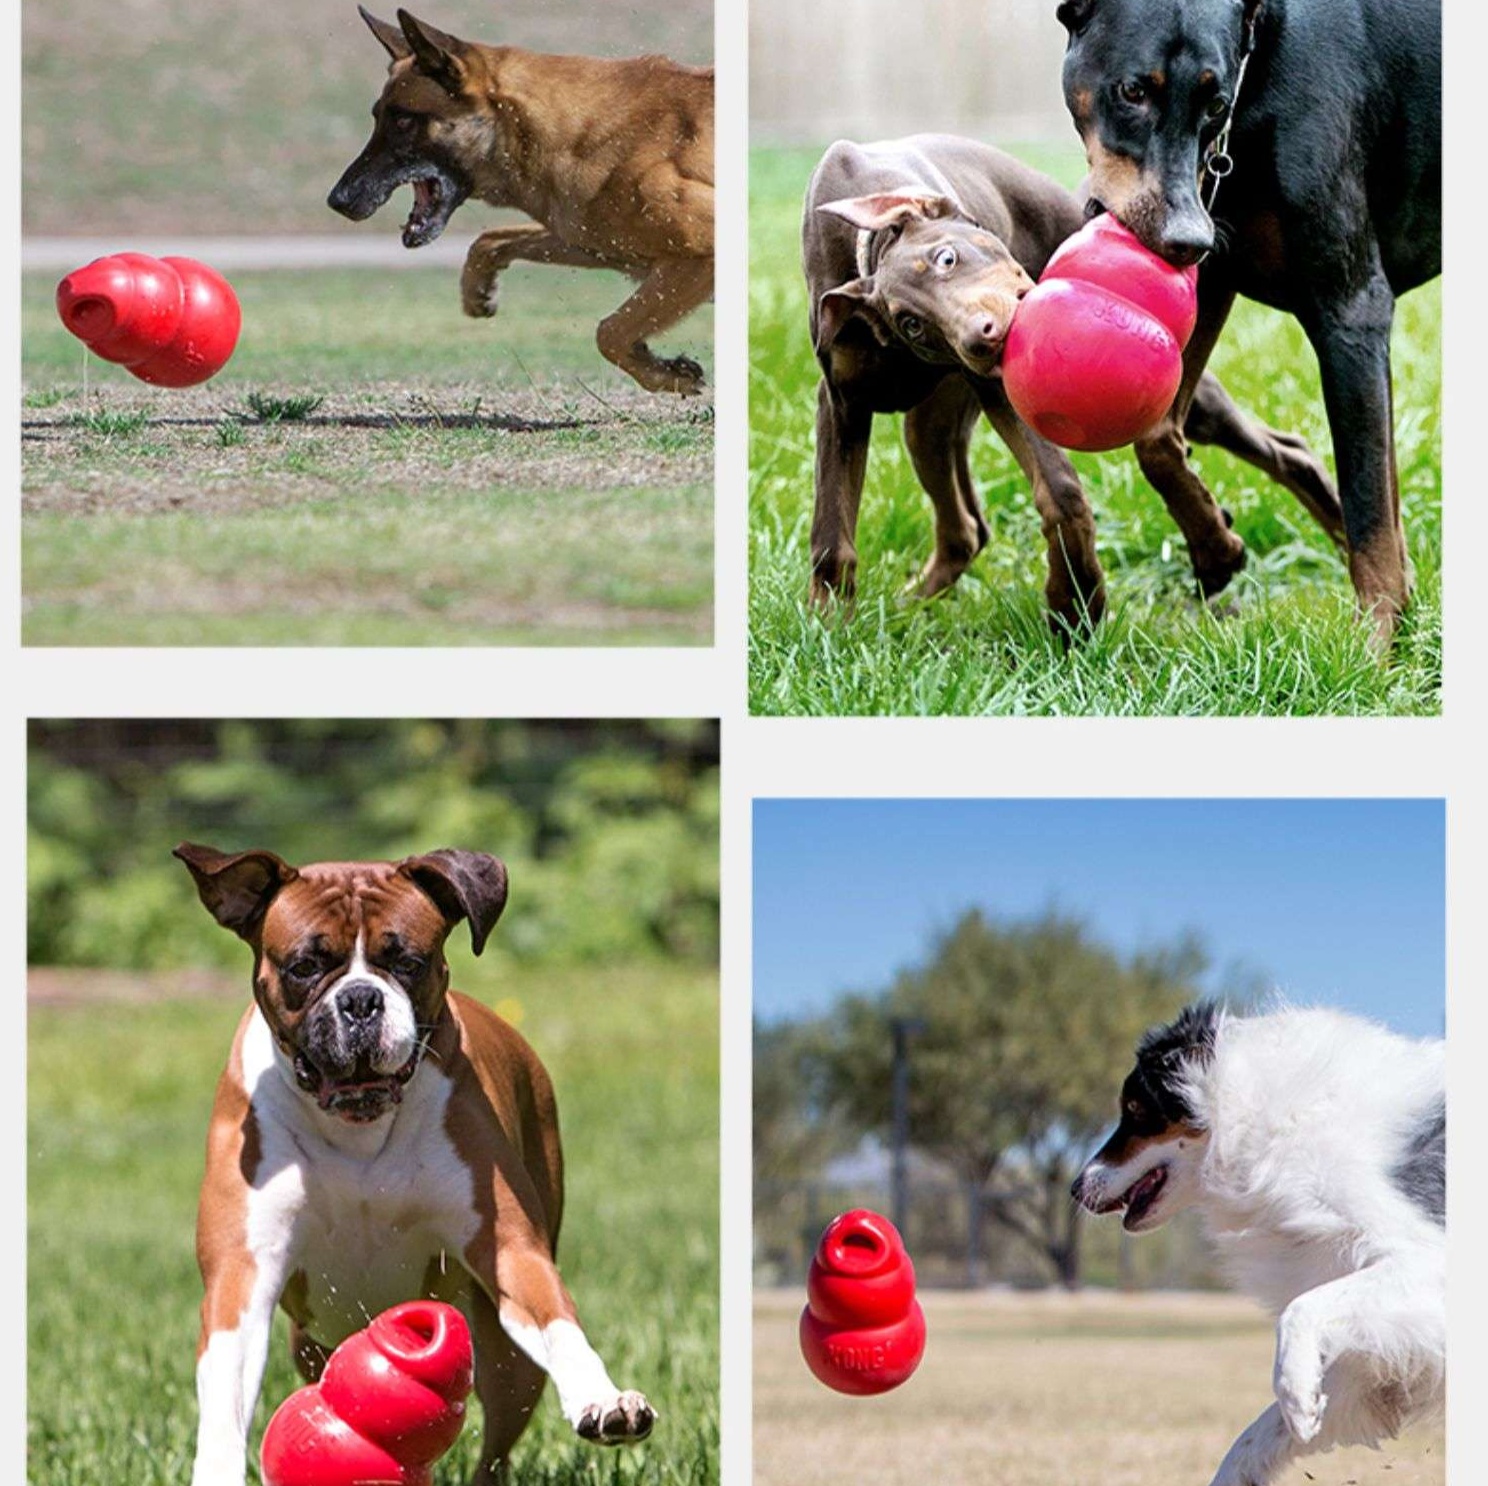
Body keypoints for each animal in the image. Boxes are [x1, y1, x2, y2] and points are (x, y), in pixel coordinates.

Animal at [174, 844, 651, 1481]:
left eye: (408, 962)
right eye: (304, 966)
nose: (360, 999)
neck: (357, 1128)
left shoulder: (511, 1253)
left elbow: (558, 1322)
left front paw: (604, 1398)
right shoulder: (240, 1279)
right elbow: (225, 1398)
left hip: (505, 1361)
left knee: (497, 1440)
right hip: (311, 1343)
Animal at [333, 10, 714, 395]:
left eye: (403, 121)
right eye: (377, 116)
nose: (338, 200)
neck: (578, 135)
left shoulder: (698, 256)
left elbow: (608, 333)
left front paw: (667, 374)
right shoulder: (592, 238)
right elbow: (491, 239)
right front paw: (478, 291)